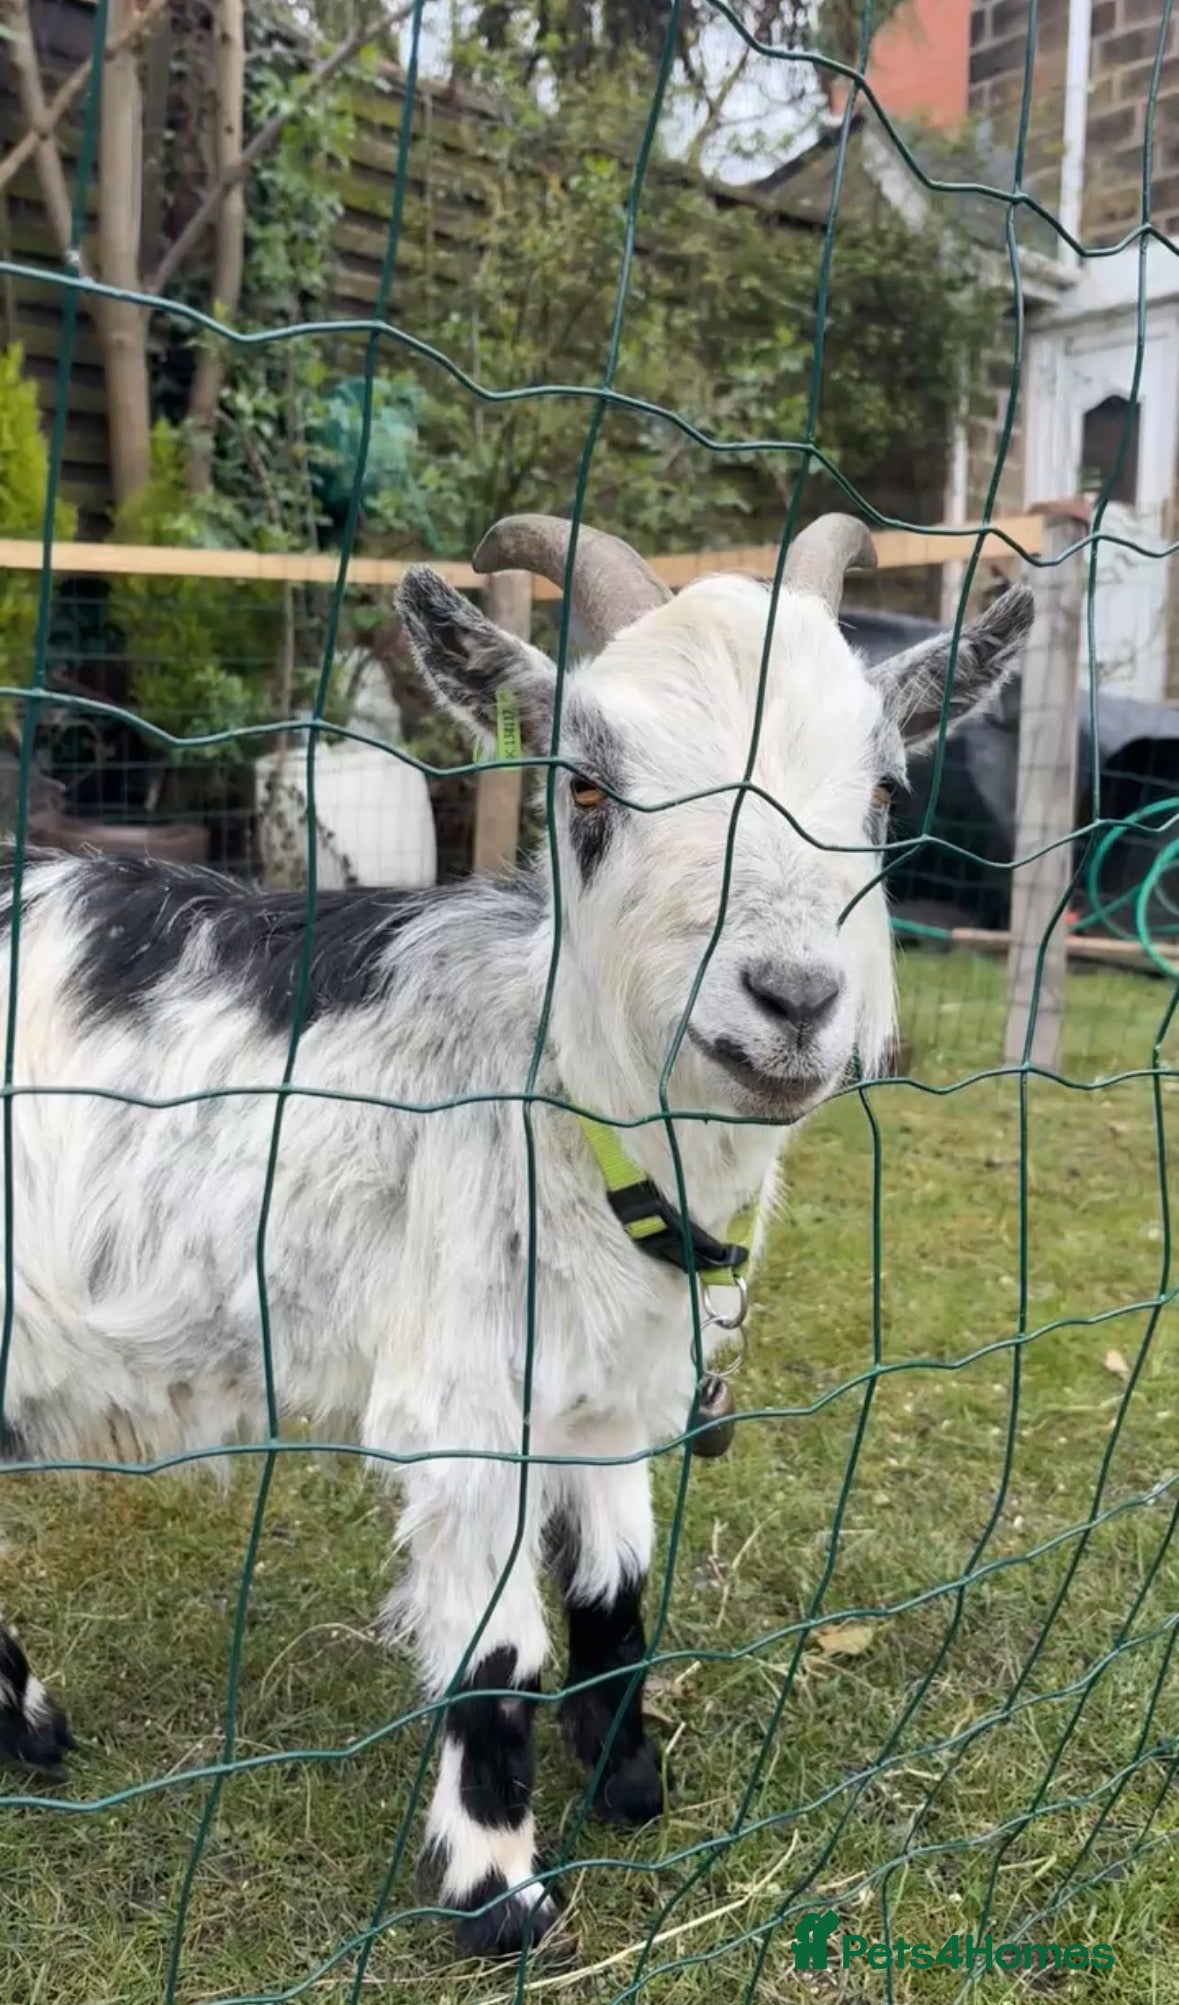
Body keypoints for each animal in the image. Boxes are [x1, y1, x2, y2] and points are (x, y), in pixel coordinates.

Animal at [0, 513, 1033, 1953]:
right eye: (587, 791)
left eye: (886, 793)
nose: (791, 999)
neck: (564, 1121)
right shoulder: (463, 1396)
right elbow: (496, 1655)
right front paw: (502, 1896)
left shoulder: (606, 1389)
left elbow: (612, 1590)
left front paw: (630, 1780)